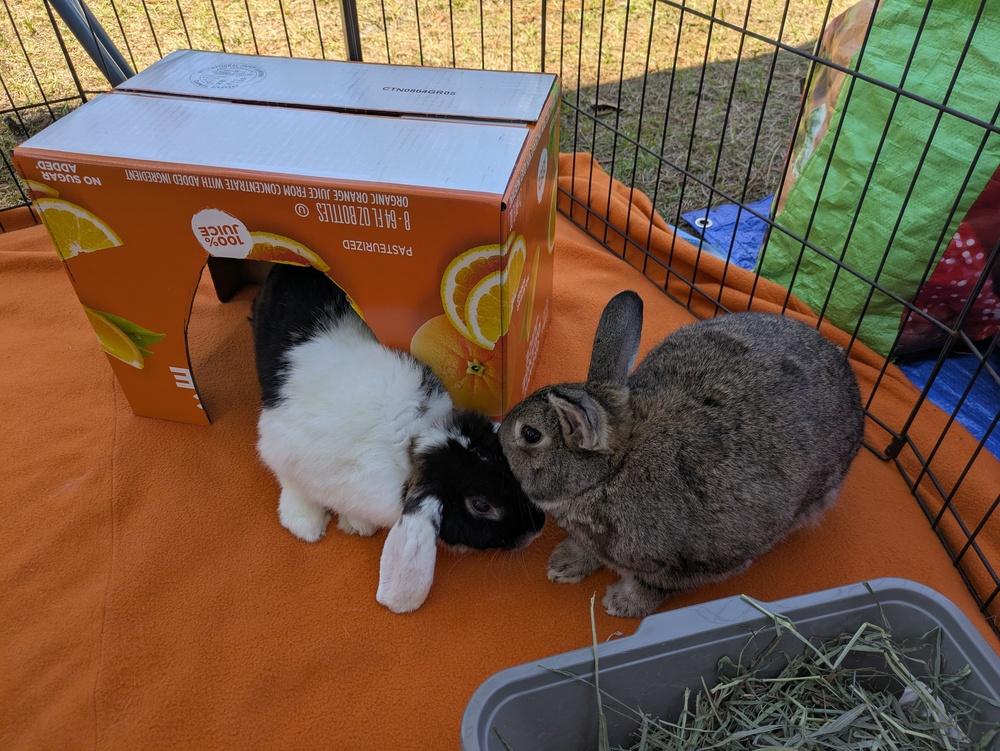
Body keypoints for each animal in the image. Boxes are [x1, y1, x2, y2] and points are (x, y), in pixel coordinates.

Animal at [251, 263, 545, 613]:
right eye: (481, 505)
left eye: (506, 461)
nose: (538, 526)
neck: (411, 440)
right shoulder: (280, 442)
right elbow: (291, 482)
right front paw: (305, 523)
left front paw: (356, 523)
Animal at [499, 291, 865, 618]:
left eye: (530, 434)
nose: (498, 434)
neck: (611, 472)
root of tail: (852, 384)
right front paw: (564, 565)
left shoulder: (693, 565)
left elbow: (655, 586)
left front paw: (621, 604)